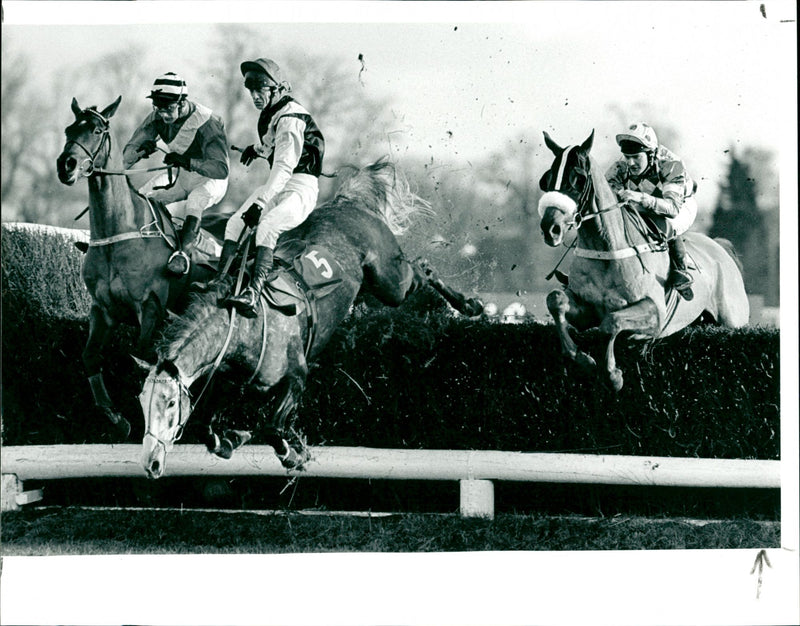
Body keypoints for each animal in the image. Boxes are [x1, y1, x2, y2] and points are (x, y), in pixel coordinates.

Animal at [55, 96, 219, 434]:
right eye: (68, 129)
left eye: (96, 129)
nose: (66, 165)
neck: (119, 235)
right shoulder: (102, 309)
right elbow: (90, 356)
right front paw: (117, 418)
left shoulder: (151, 307)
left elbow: (144, 359)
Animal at [138, 157, 482, 478]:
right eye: (142, 402)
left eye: (170, 403)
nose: (151, 463)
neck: (243, 328)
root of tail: (347, 202)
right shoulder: (232, 383)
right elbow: (209, 429)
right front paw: (235, 438)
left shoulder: (296, 377)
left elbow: (273, 428)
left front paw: (292, 454)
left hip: (389, 281)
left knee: (422, 268)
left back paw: (469, 305)